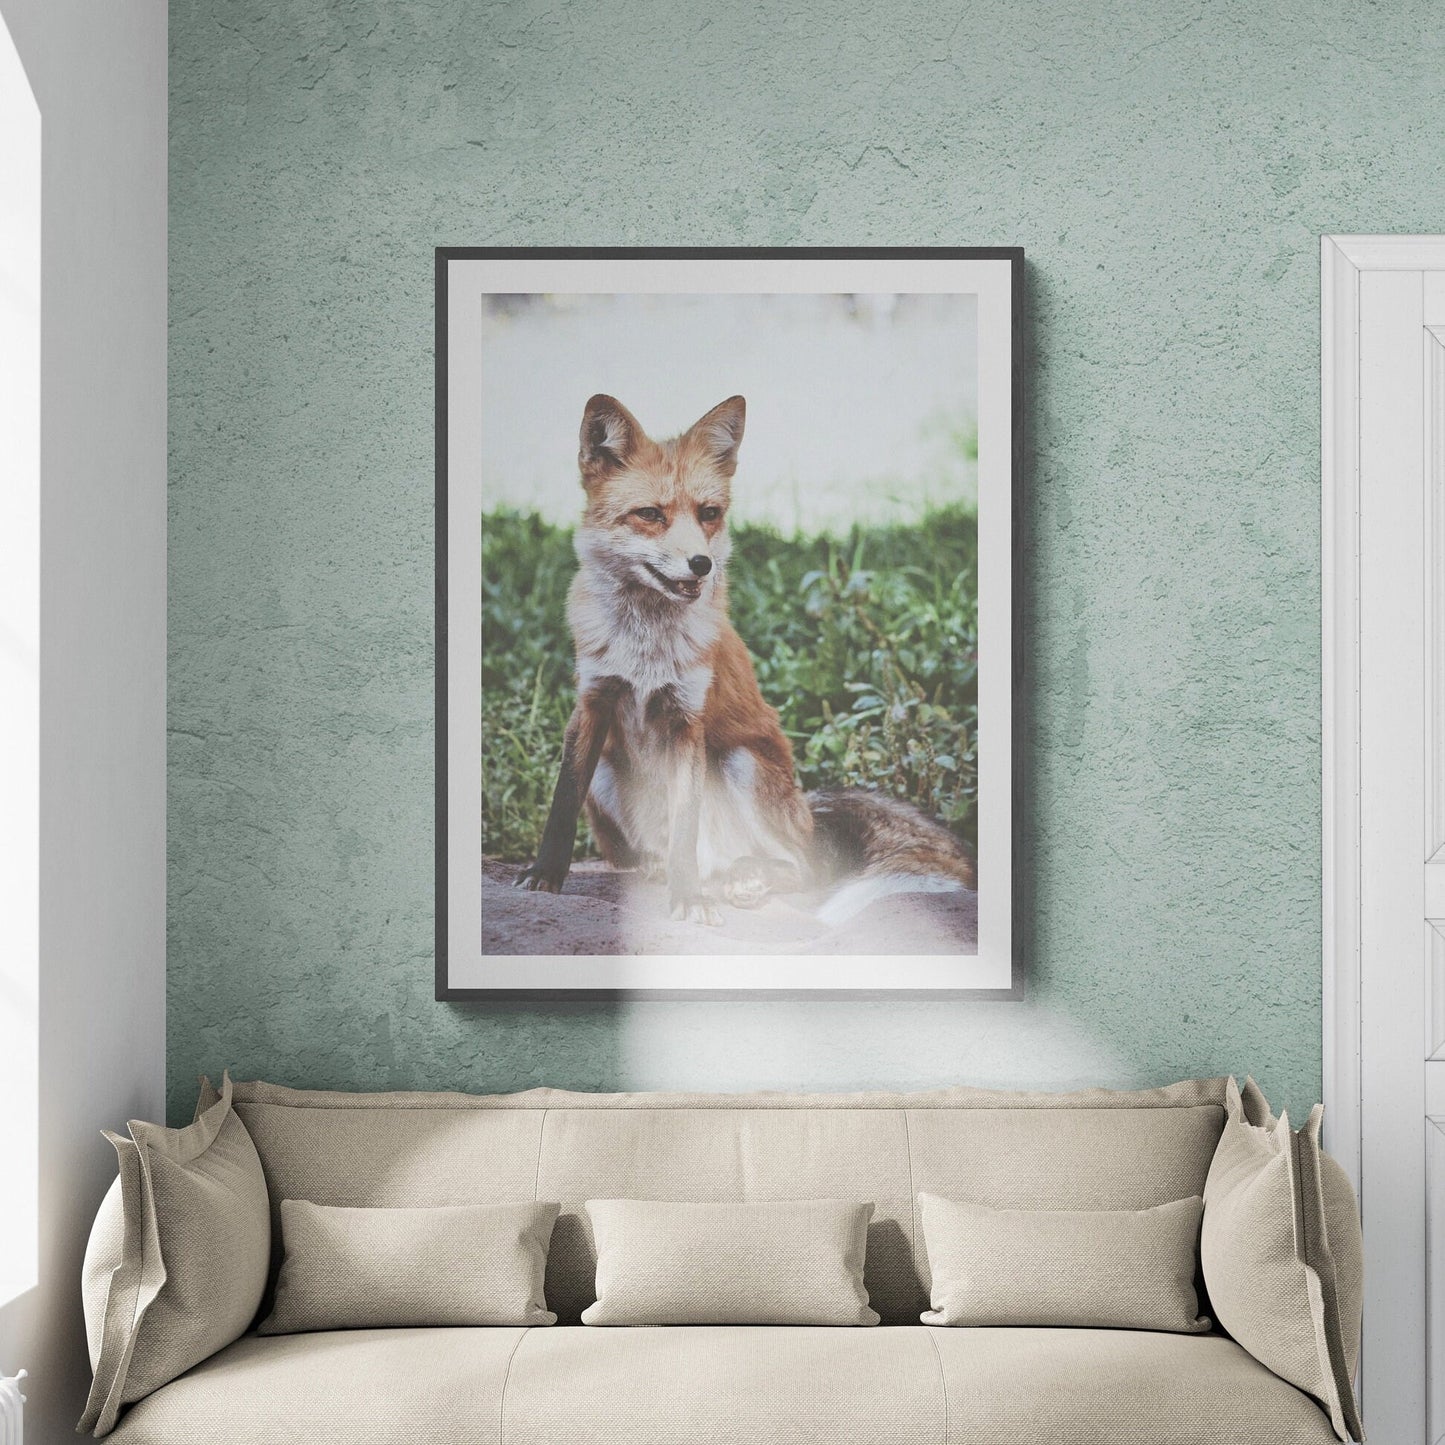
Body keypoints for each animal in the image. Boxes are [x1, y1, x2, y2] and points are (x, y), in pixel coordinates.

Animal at [514, 392, 975, 926]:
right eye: (650, 514)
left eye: (709, 513)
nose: (701, 564)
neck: (646, 645)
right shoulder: (592, 702)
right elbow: (562, 802)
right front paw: (545, 874)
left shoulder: (687, 719)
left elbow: (685, 826)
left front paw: (689, 899)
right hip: (609, 771)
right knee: (659, 853)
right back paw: (667, 870)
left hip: (741, 762)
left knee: (800, 869)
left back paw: (742, 880)